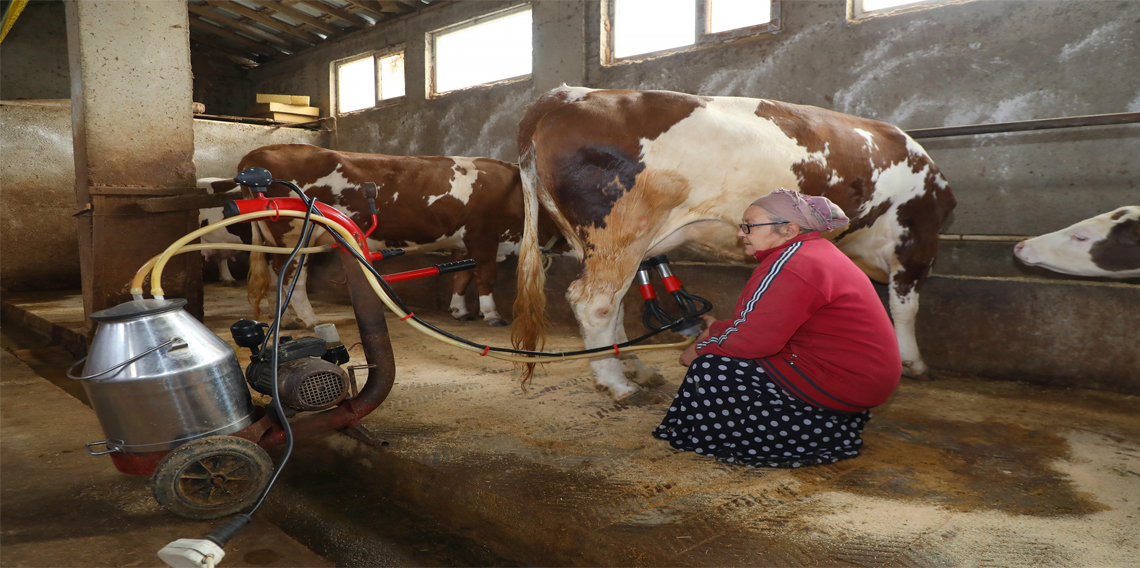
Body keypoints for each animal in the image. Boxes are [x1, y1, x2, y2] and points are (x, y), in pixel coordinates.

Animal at [220, 143, 563, 328]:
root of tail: (254, 156)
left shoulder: (461, 242)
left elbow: (461, 277)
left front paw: (459, 310)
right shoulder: (484, 236)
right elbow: (484, 277)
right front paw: (492, 315)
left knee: (278, 276)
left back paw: (287, 318)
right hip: (295, 237)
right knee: (292, 277)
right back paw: (309, 319)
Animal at [513, 86, 957, 401]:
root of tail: (572, 94)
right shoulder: (916, 239)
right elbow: (905, 307)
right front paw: (913, 362)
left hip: (603, 242)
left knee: (615, 304)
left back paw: (635, 368)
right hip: (619, 233)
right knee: (596, 302)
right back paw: (617, 384)